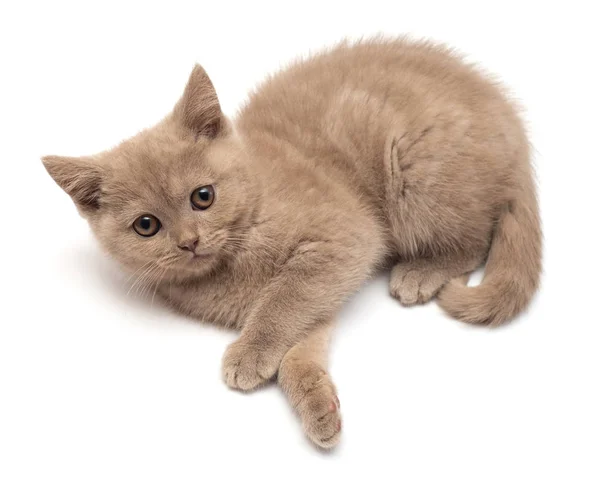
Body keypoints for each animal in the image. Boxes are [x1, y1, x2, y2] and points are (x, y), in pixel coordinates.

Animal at [41, 38, 540, 450]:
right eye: (147, 225)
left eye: (203, 197)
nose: (189, 242)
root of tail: (514, 128)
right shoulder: (320, 297)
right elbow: (300, 342)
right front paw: (318, 405)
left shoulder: (343, 239)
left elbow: (285, 299)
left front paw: (249, 353)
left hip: (416, 175)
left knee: (475, 238)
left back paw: (422, 272)